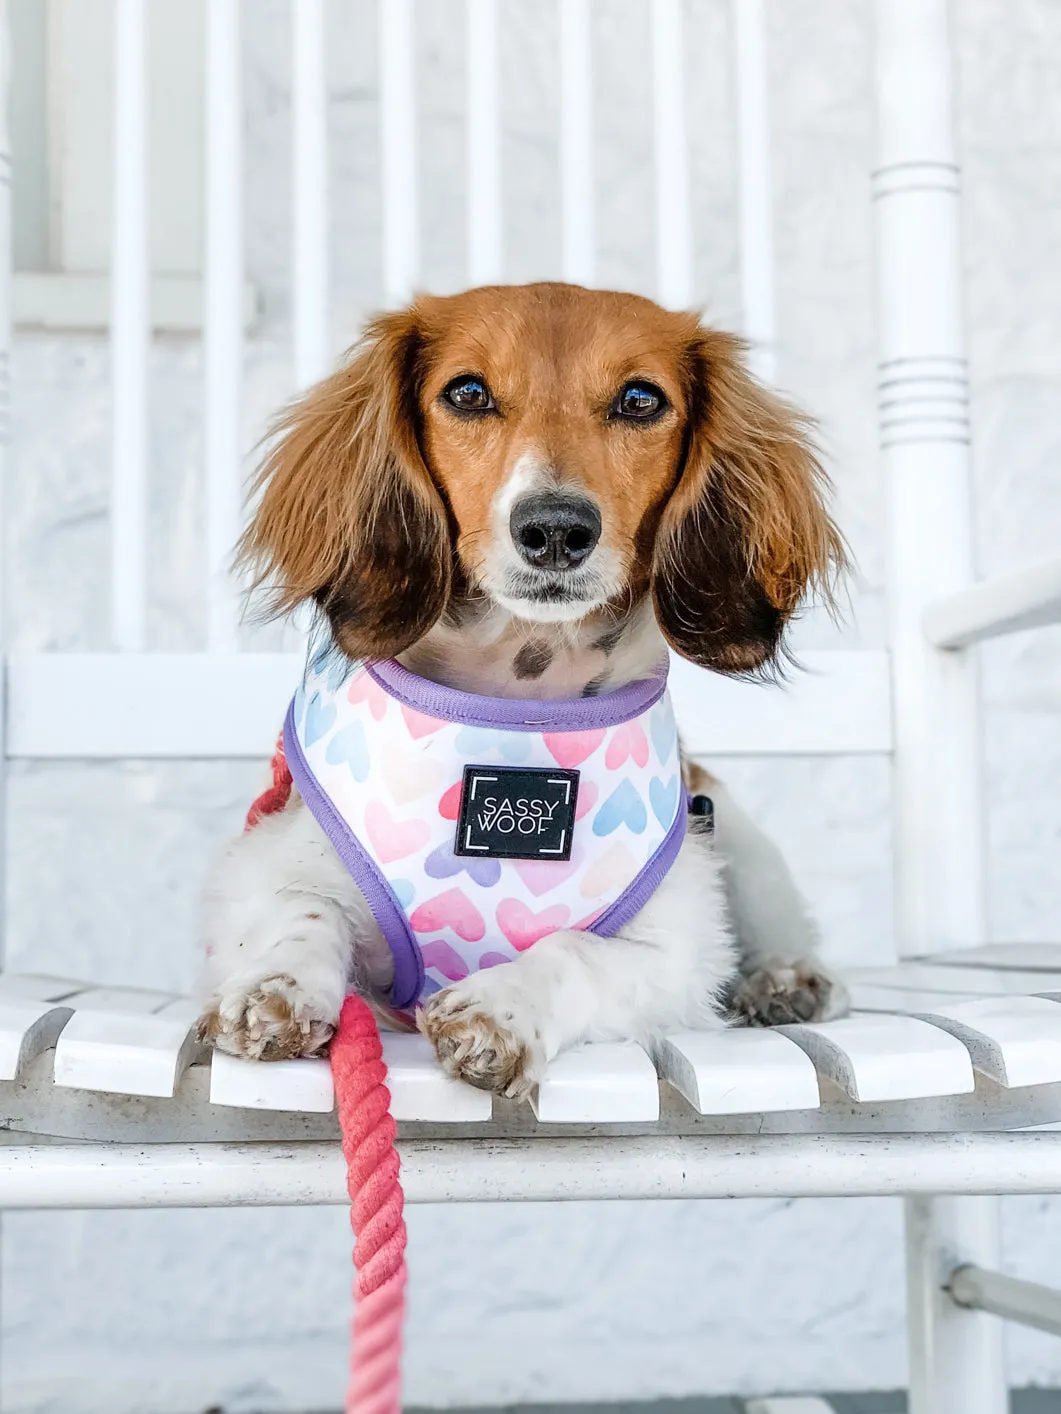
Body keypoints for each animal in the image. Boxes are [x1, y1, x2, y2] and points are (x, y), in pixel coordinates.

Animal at [198, 275, 848, 1091]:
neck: (517, 698)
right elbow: (301, 912)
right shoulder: (278, 854)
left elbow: (575, 951)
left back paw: (787, 978)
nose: (557, 530)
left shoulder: (675, 945)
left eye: (640, 400)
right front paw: (279, 987)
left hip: (731, 832)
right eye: (468, 392)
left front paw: (499, 1007)